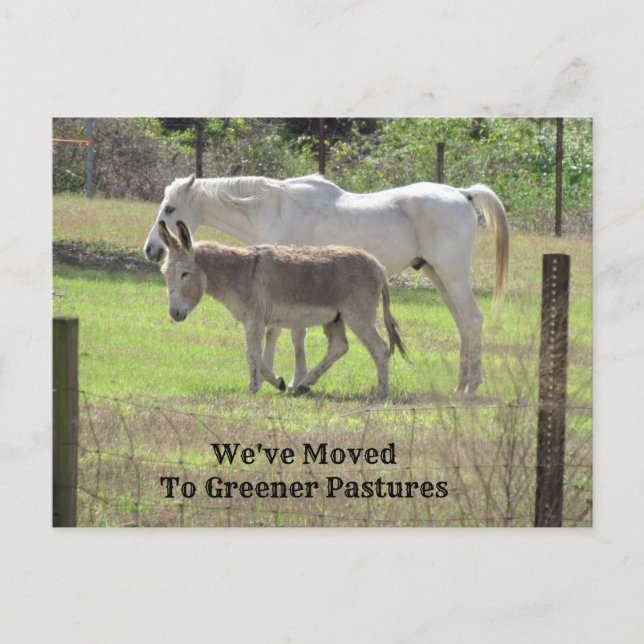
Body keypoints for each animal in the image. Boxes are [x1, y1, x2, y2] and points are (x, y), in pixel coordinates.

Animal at [157, 220, 407, 399]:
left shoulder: (255, 320)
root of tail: (379, 267)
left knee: (380, 348)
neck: (237, 273)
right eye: (165, 273)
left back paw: (382, 393)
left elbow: (253, 354)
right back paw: (305, 385)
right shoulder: (257, 321)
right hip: (335, 317)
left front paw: (269, 383)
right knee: (339, 346)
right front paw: (260, 385)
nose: (174, 314)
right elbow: (257, 354)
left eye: (185, 273)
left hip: (357, 315)